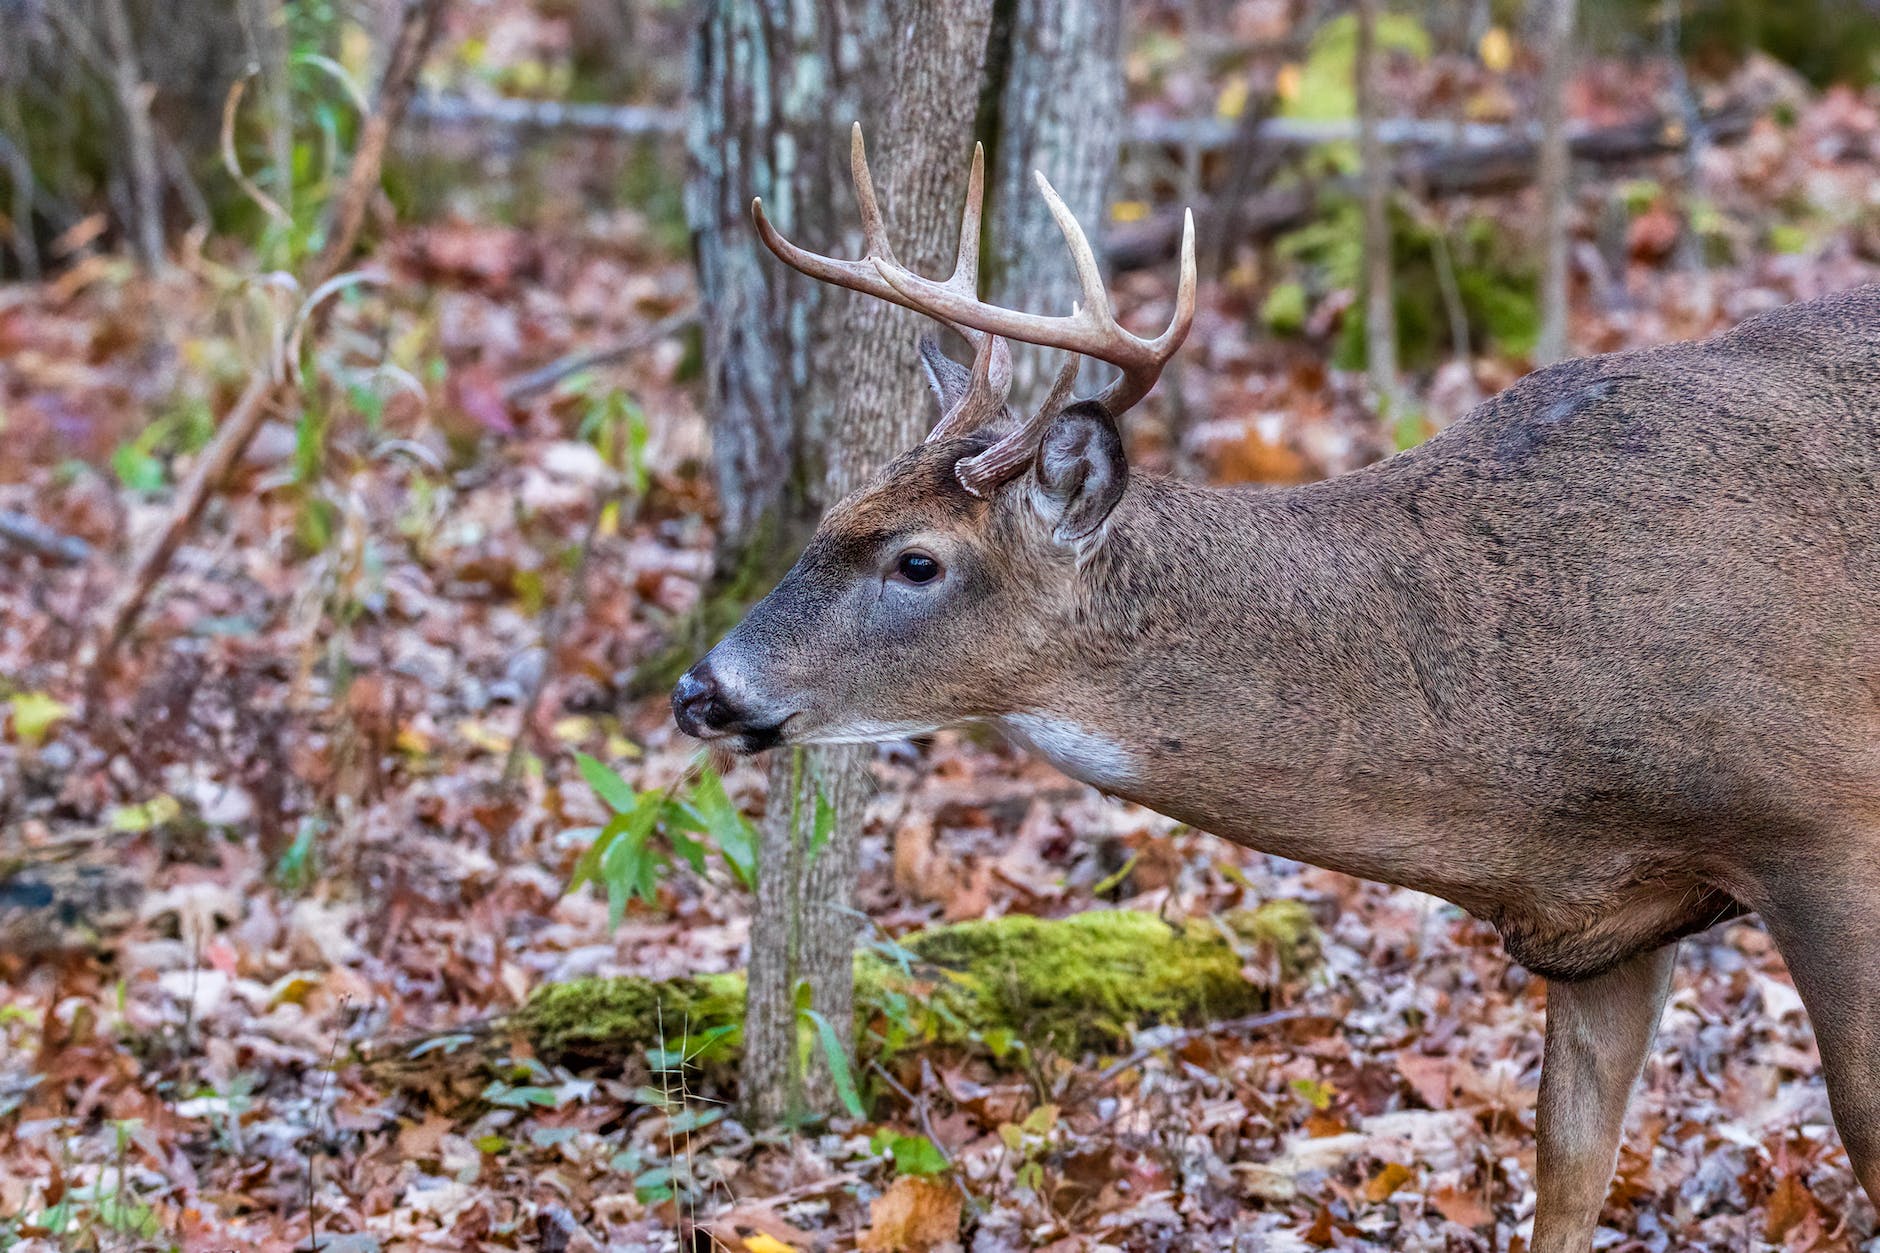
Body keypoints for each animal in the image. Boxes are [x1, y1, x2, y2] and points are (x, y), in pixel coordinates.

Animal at [671, 125, 1880, 1249]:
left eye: (915, 560)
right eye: (828, 516)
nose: (699, 689)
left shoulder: (1824, 829)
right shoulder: (1601, 915)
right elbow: (1568, 1167)